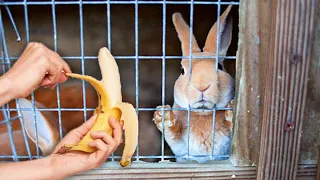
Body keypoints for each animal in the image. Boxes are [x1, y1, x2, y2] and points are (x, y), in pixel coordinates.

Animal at [151, 5, 234, 163]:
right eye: (182, 70)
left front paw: (232, 110)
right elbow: (173, 134)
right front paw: (163, 115)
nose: (202, 86)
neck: (202, 113)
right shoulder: (180, 147)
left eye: (219, 66)